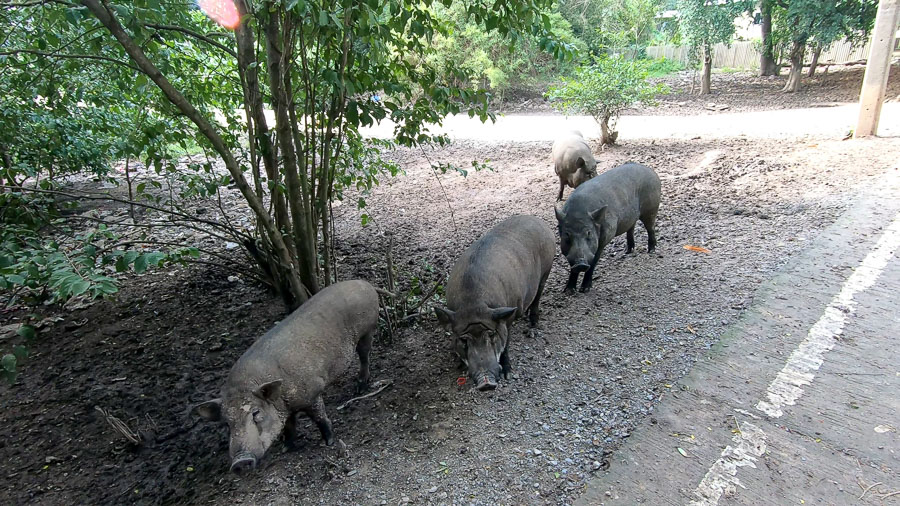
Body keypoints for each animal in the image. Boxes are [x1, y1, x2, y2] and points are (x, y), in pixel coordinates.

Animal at [192, 280, 378, 473]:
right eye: (227, 424)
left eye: (256, 413)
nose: (240, 461)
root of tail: (365, 284)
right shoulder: (284, 409)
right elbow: (289, 427)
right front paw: (286, 448)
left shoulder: (311, 393)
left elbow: (319, 417)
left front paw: (329, 442)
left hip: (367, 330)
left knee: (364, 356)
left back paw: (360, 388)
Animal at [434, 215, 555, 391]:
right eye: (464, 340)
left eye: (491, 335)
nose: (486, 383)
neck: (473, 303)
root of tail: (540, 222)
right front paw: (459, 365)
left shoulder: (507, 318)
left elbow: (506, 346)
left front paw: (508, 375)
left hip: (546, 271)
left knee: (537, 297)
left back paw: (532, 326)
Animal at [555, 162, 661, 294]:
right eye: (567, 235)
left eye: (589, 233)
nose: (581, 264)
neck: (579, 212)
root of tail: (651, 171)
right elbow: (572, 267)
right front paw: (568, 291)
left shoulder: (605, 237)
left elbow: (594, 262)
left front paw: (585, 289)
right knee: (631, 227)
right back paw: (628, 251)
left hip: (651, 208)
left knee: (650, 228)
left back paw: (651, 250)